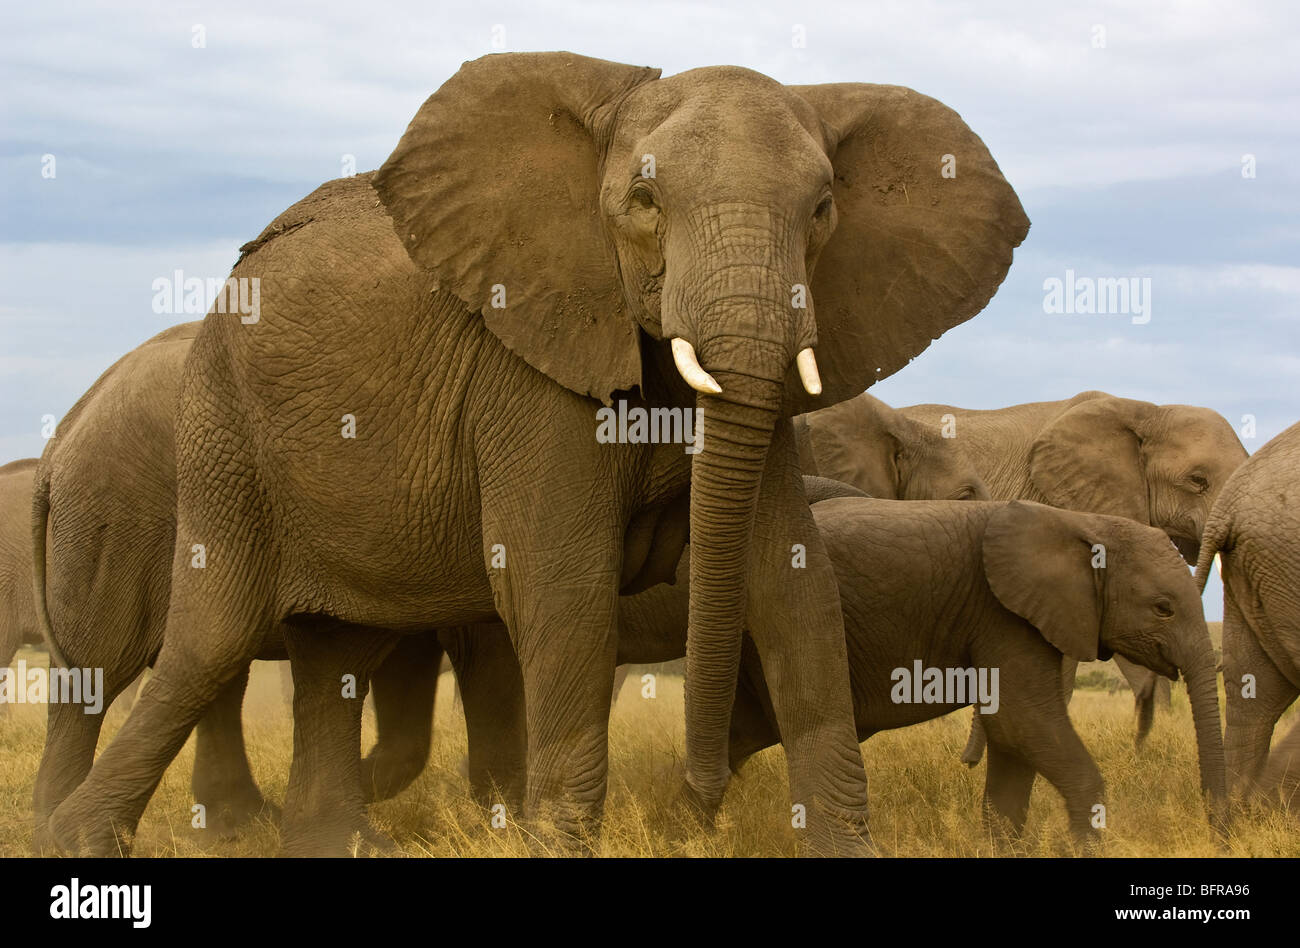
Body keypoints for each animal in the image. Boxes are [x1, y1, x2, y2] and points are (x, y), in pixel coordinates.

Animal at [46, 52, 1028, 857]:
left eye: (823, 211)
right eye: (644, 203)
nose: (699, 801)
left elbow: (793, 584)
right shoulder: (525, 368)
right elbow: (561, 581)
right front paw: (553, 841)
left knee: (334, 654)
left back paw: (333, 843)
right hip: (221, 429)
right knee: (207, 643)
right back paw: (70, 837)